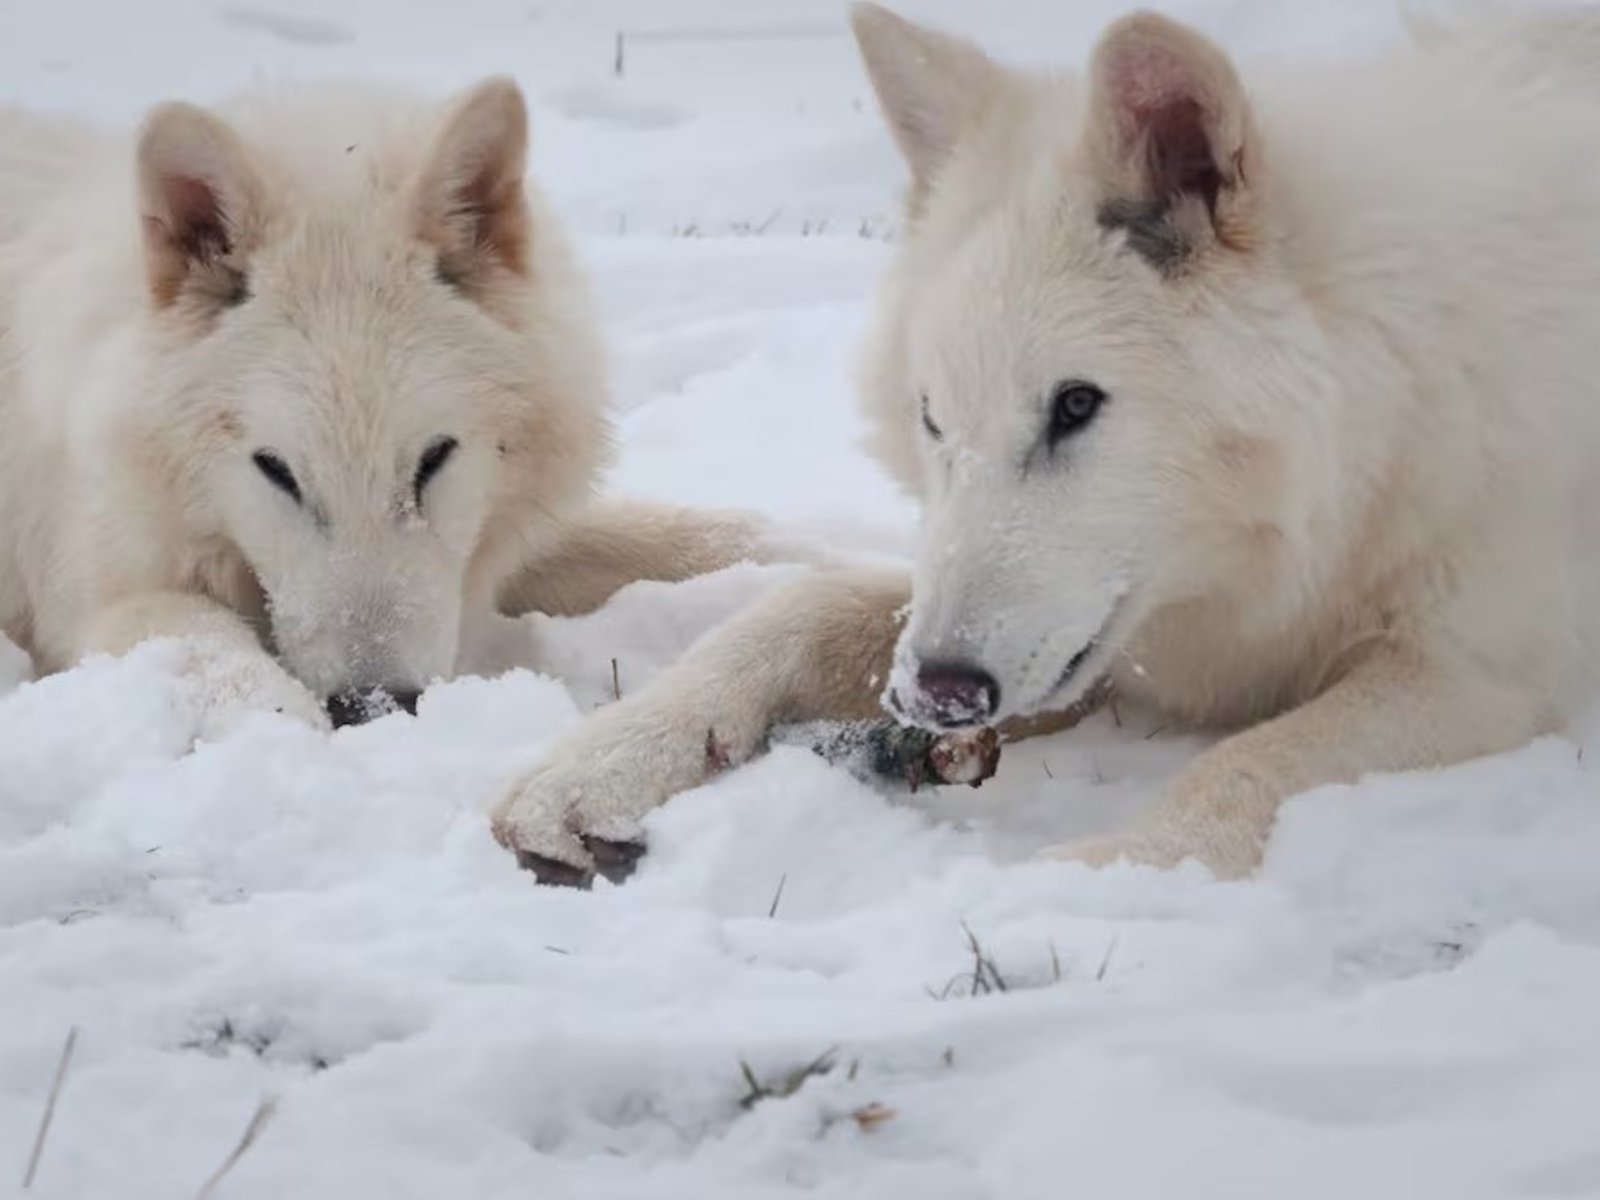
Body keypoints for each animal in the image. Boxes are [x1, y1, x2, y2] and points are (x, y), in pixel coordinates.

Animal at [0, 77, 787, 734]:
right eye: (277, 471)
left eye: (433, 460)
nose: (375, 708)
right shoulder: (101, 599)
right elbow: (225, 663)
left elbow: (701, 535)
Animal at [493, 1, 1600, 883]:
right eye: (932, 418)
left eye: (1075, 405)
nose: (935, 695)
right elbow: (795, 605)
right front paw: (597, 760)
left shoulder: (1479, 675)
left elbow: (1254, 764)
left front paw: (1099, 880)